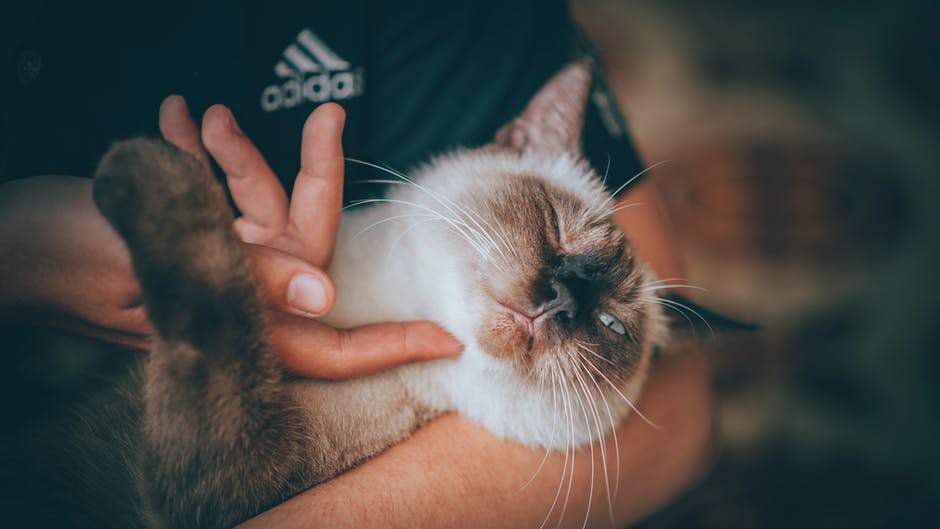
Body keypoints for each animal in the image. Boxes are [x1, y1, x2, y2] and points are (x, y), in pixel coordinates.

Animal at [84, 62, 668, 528]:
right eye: (557, 228)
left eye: (612, 325)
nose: (563, 300)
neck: (389, 299)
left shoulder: (240, 469)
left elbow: (216, 293)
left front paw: (141, 164)